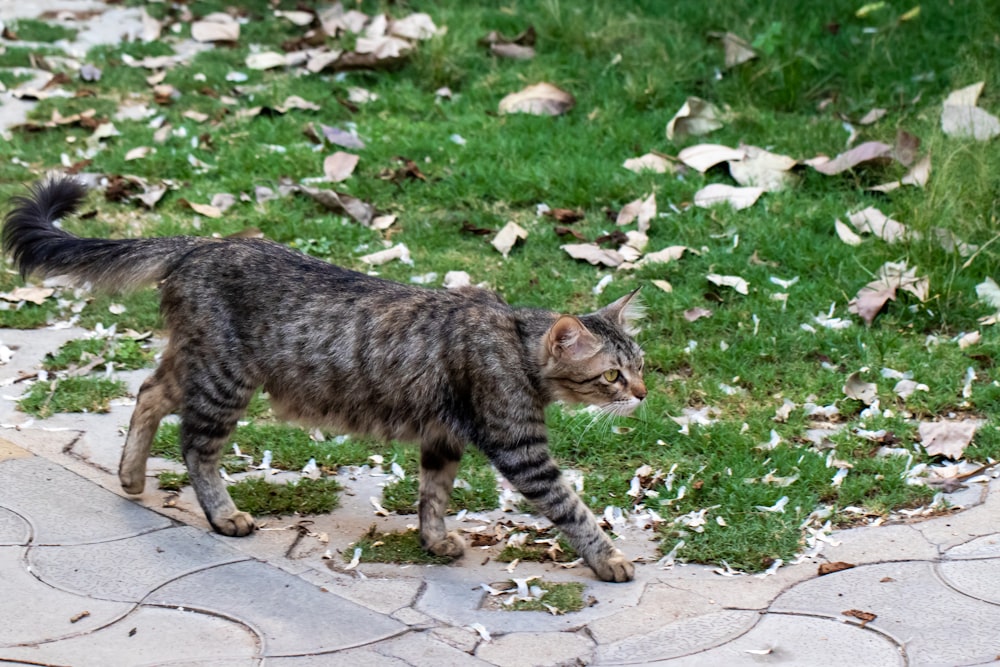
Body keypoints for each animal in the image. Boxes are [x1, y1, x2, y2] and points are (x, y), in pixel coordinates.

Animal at [3, 180, 644, 580]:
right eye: (612, 376)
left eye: (639, 366)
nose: (641, 395)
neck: (514, 337)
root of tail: (202, 246)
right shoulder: (520, 448)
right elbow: (573, 507)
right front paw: (608, 559)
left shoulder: (443, 438)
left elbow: (433, 496)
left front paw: (433, 539)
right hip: (224, 381)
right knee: (195, 446)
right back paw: (222, 514)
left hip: (196, 364)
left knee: (148, 392)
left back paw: (131, 476)